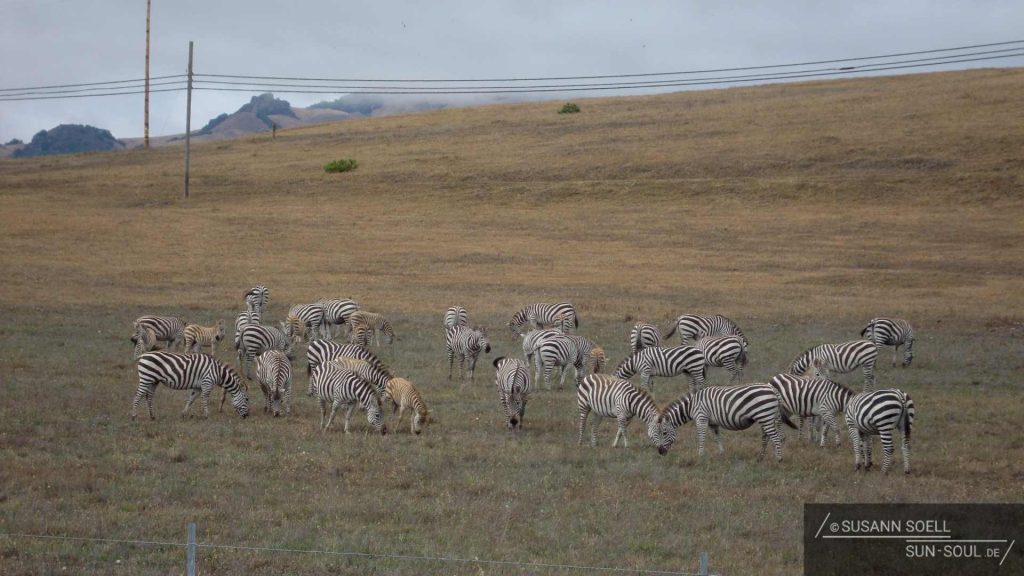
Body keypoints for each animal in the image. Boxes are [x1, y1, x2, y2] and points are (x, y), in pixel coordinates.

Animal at [658, 384, 797, 460]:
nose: (660, 452)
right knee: (768, 437)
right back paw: (760, 458)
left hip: (765, 416)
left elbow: (701, 437)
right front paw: (721, 453)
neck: (691, 405)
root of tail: (773, 389)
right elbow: (717, 437)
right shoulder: (712, 423)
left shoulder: (701, 417)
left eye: (664, 433)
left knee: (776, 438)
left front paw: (700, 455)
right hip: (767, 417)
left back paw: (779, 459)